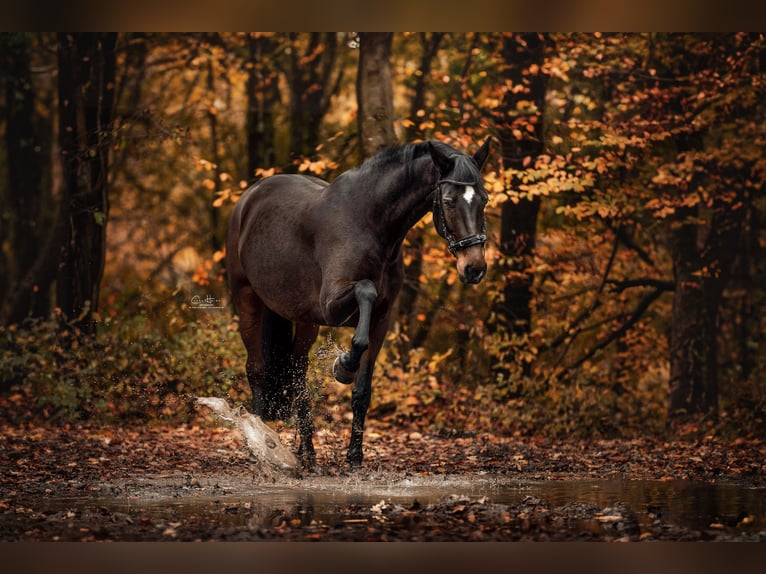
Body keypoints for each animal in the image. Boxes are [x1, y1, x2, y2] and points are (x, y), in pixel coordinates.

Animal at [225, 138, 491, 468]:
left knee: (298, 375)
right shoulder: (332, 304)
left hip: (304, 320)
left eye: (484, 200)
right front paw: (343, 365)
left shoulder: (381, 320)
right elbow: (366, 293)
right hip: (247, 299)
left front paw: (354, 456)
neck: (370, 225)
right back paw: (262, 443)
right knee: (257, 369)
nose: (474, 267)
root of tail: (247, 200)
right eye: (450, 200)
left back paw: (307, 453)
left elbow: (362, 390)